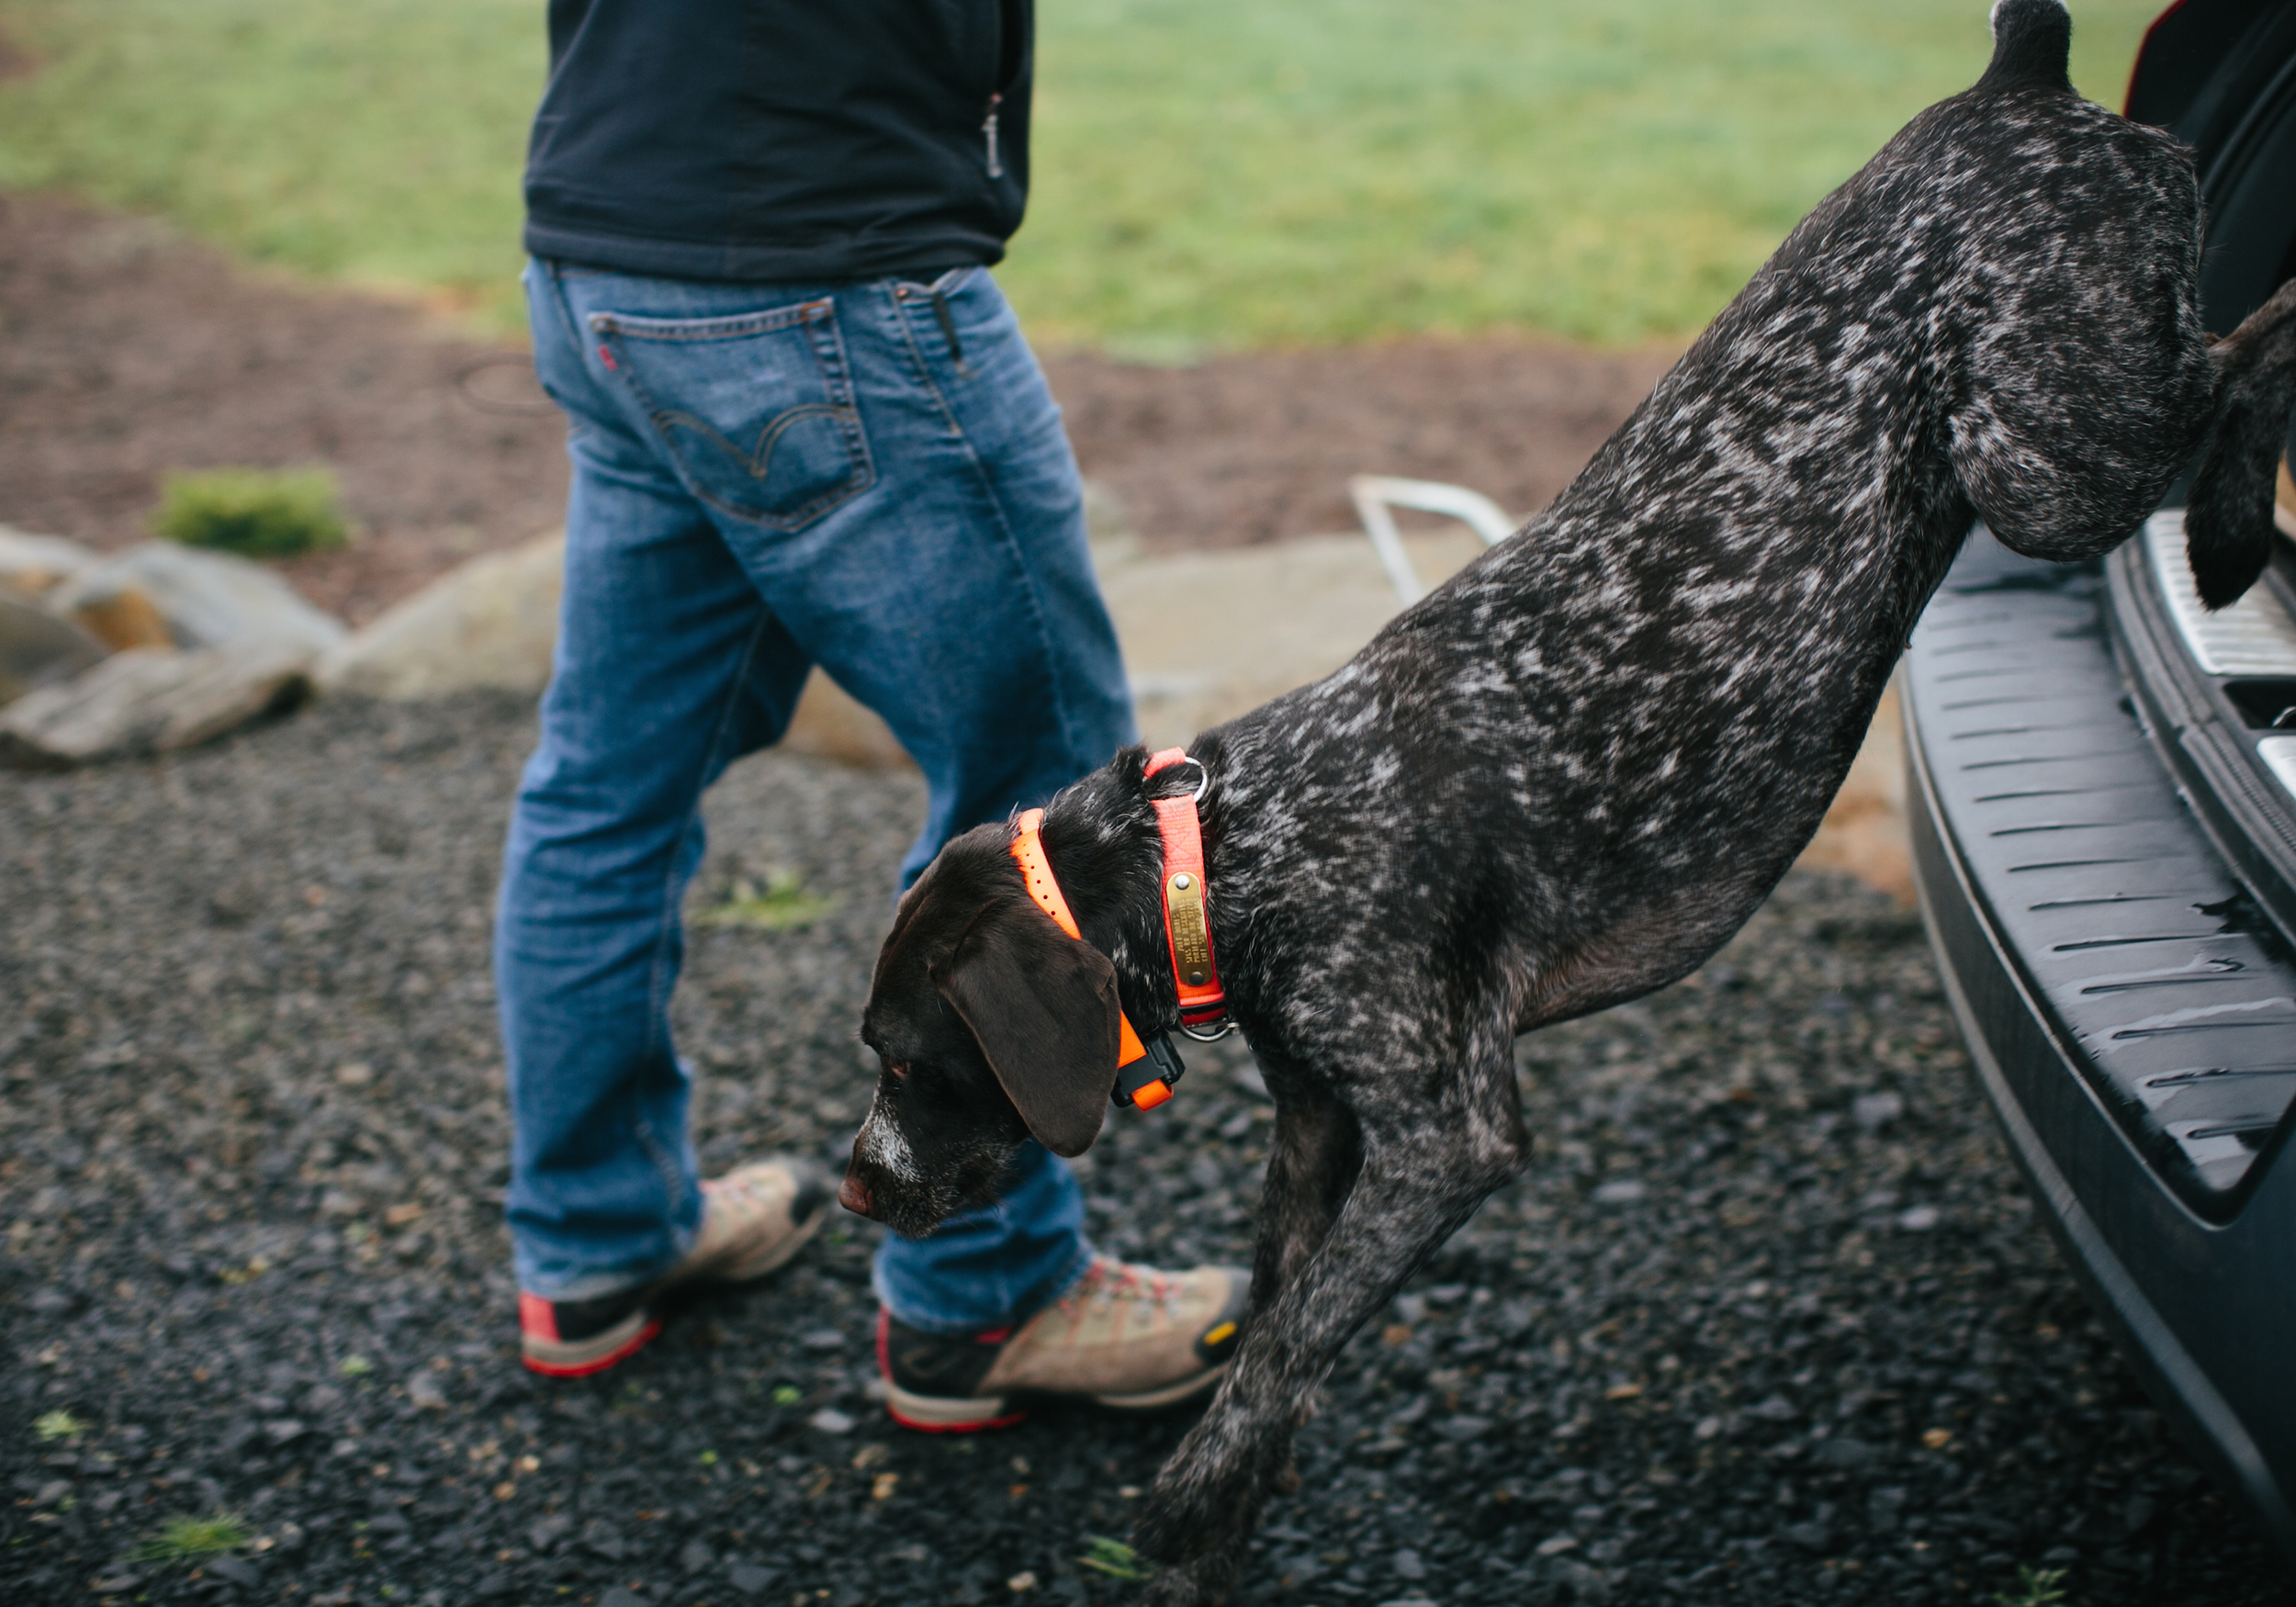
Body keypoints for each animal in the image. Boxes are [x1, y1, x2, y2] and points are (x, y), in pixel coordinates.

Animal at [845, 6, 2296, 1598]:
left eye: (908, 1060)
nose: (854, 1188)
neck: (1223, 851)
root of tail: (2017, 79)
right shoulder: (1319, 1123)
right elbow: (1283, 1307)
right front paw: (1240, 1482)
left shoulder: (1445, 1134)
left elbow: (1298, 1323)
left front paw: (1195, 1488)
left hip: (2046, 458)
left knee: (2251, 347)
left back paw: (2238, 520)